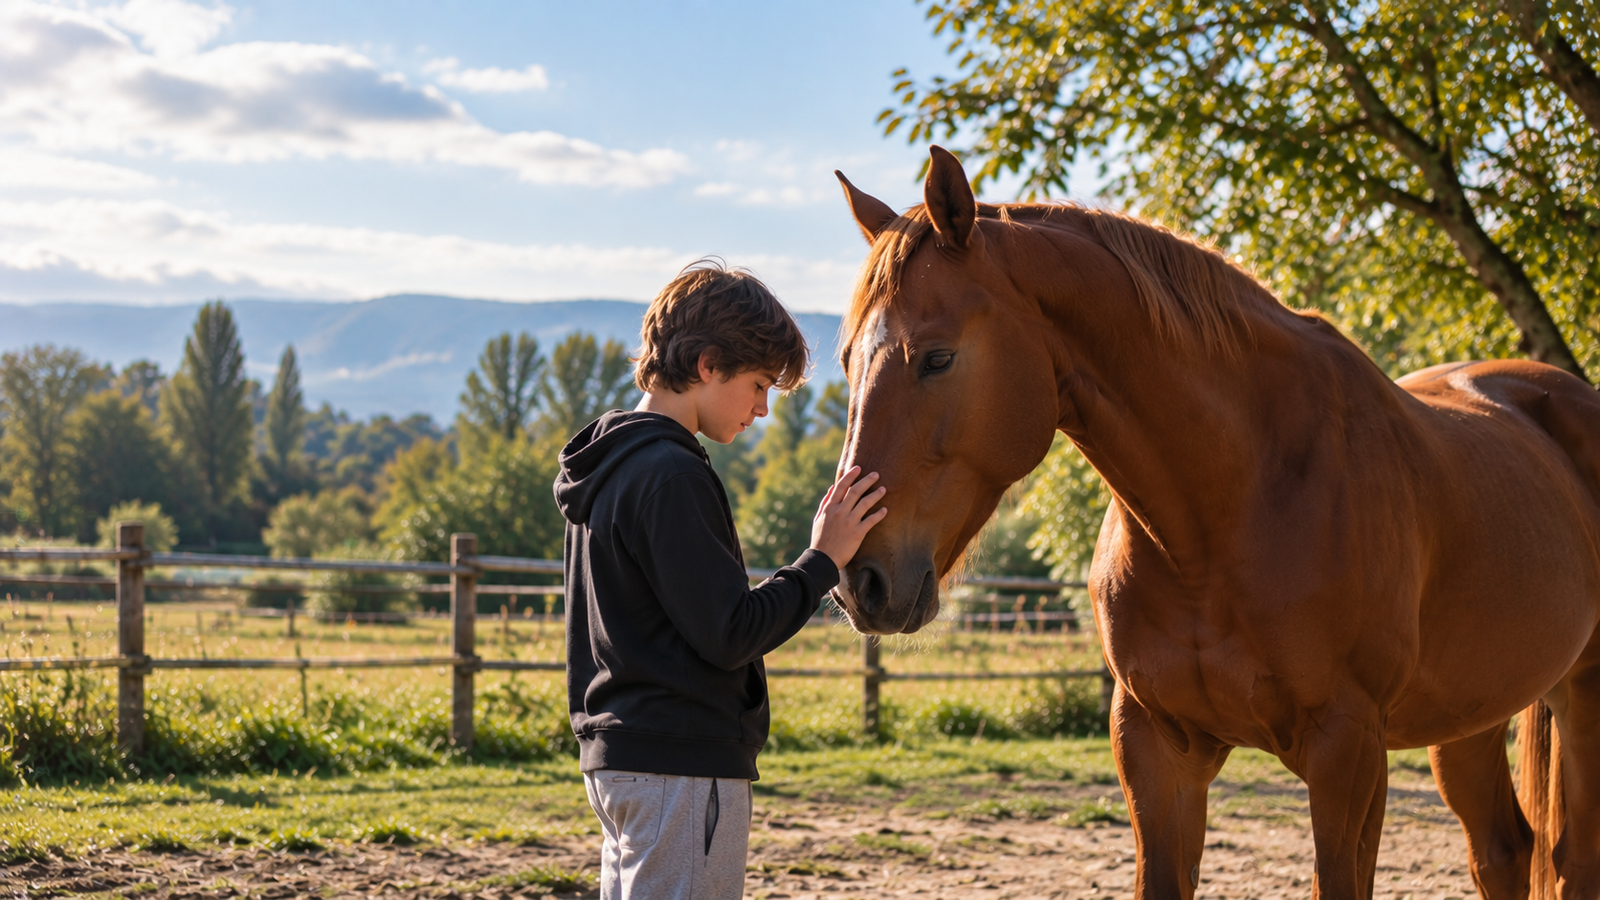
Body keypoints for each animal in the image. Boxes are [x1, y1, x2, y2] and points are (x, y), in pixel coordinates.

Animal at [827, 145, 1600, 900]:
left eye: (937, 357)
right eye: (846, 360)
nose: (860, 578)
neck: (1223, 516)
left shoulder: (1349, 750)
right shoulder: (1155, 745)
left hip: (1579, 694)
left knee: (1569, 861)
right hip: (1471, 717)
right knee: (1505, 852)